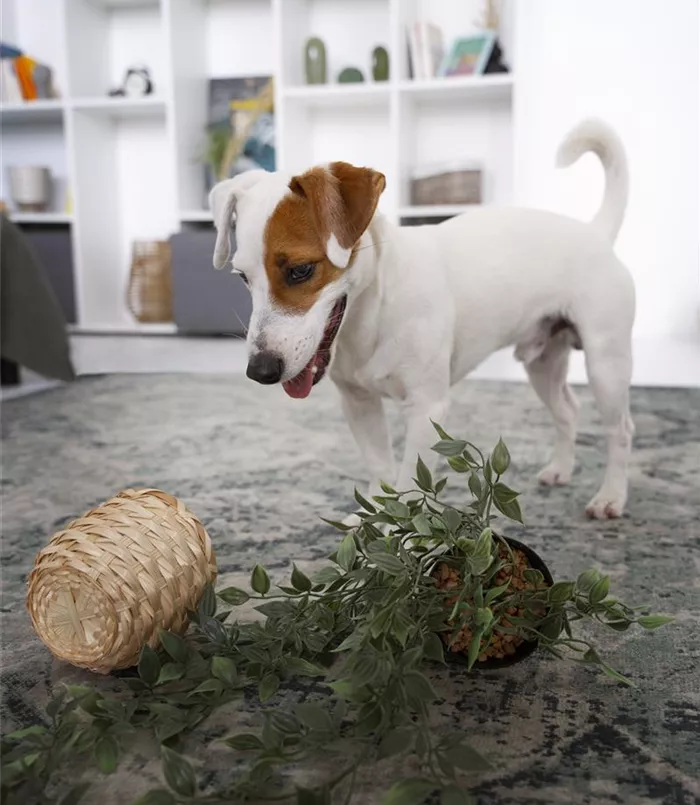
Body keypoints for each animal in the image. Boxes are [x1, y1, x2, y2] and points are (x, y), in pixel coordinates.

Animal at [208, 116, 636, 520]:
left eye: (300, 271)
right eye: (242, 277)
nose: (260, 370)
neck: (372, 315)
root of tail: (595, 232)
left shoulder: (426, 409)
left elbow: (411, 483)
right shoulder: (359, 404)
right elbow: (381, 472)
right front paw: (373, 521)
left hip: (606, 365)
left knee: (620, 430)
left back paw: (611, 496)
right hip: (543, 364)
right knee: (568, 411)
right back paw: (561, 469)